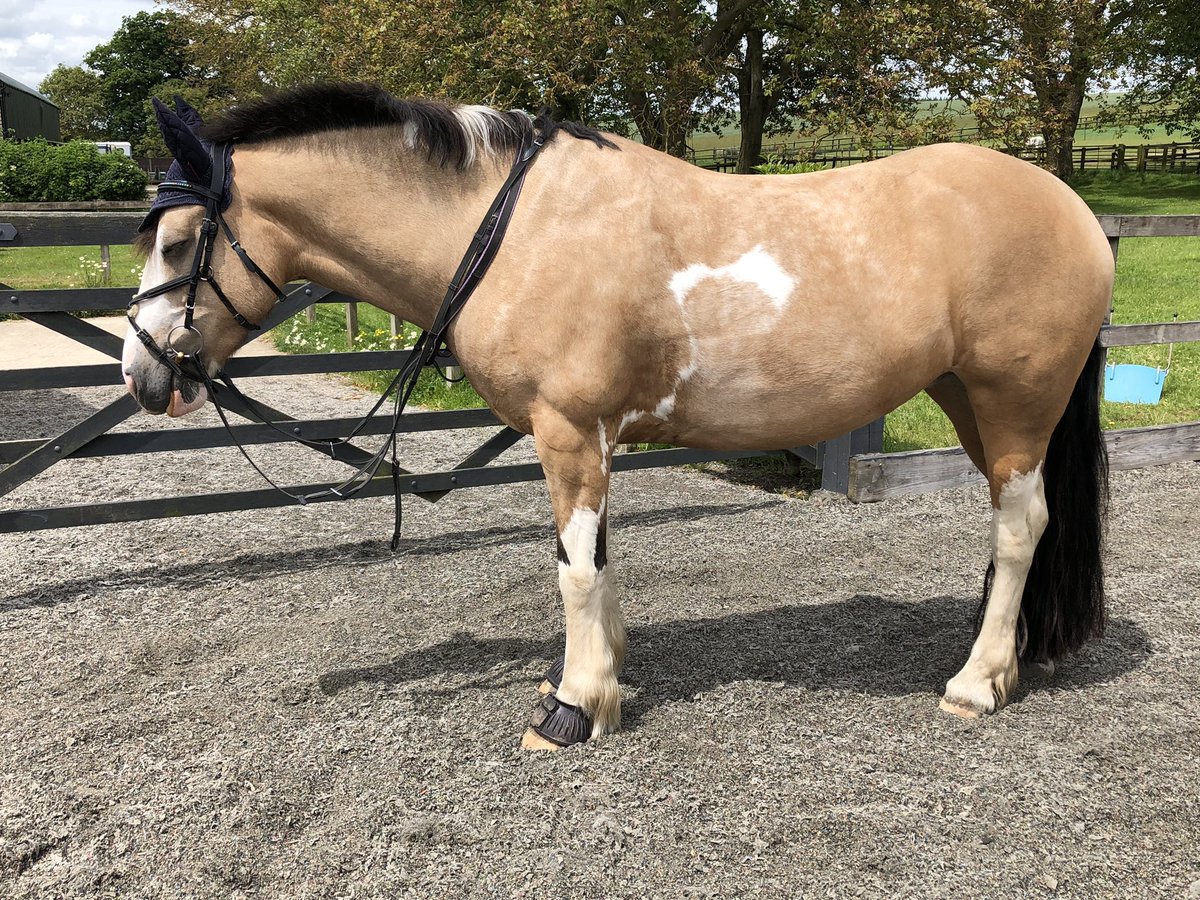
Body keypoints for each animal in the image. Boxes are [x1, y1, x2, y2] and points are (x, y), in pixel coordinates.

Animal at [123, 84, 1113, 751]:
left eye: (178, 242)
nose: (142, 373)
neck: (514, 227)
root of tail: (1072, 207)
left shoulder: (567, 429)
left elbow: (572, 570)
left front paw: (572, 705)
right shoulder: (589, 436)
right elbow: (595, 560)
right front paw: (601, 672)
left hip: (1014, 401)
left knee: (1021, 528)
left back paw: (977, 681)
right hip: (966, 399)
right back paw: (1006, 650)